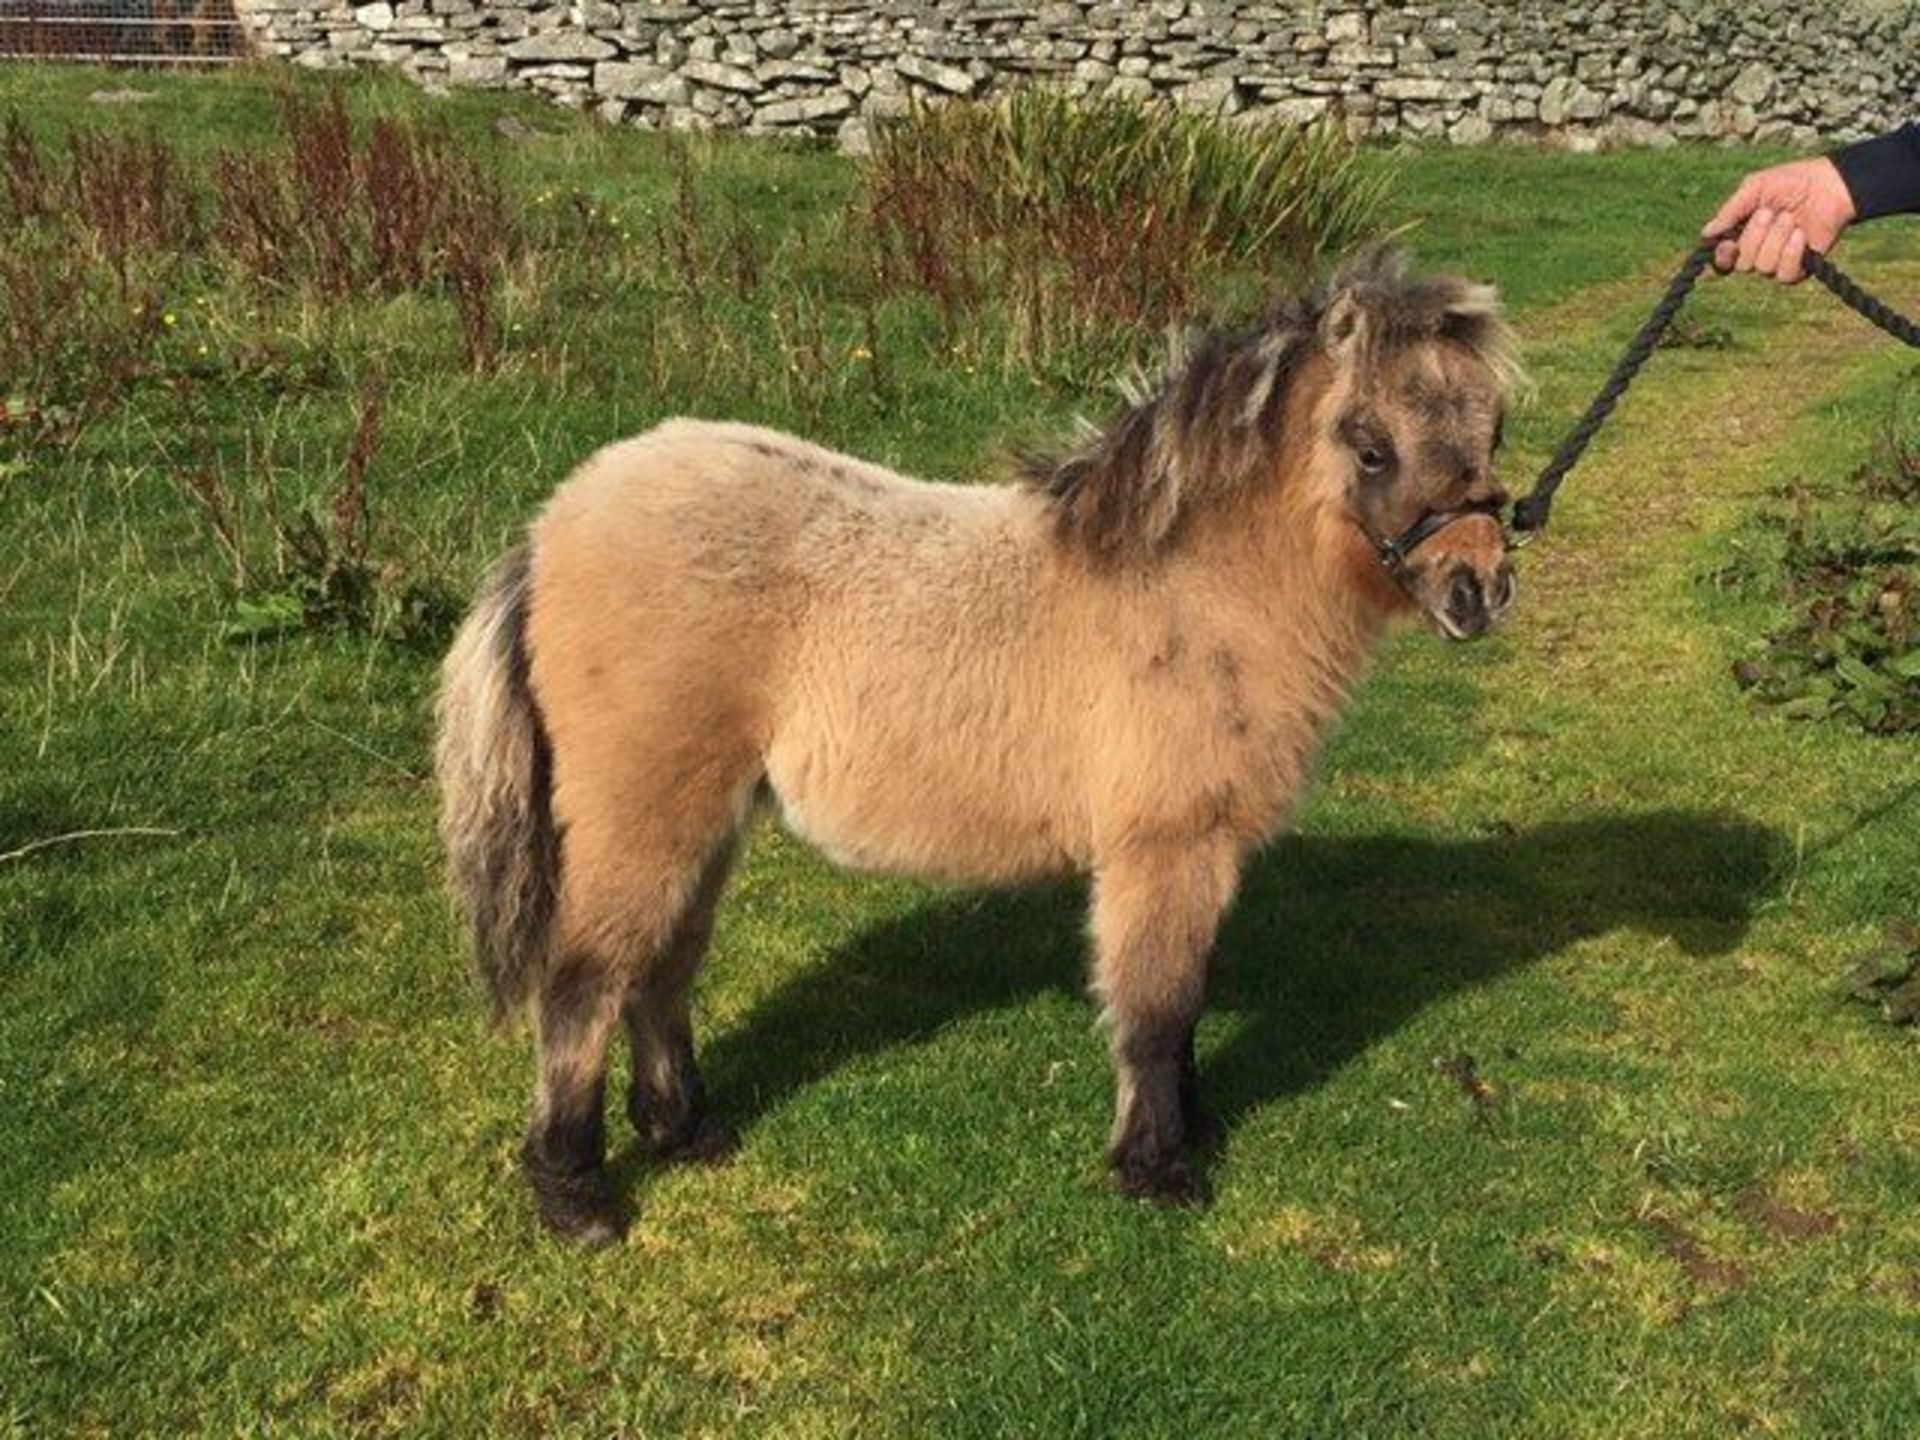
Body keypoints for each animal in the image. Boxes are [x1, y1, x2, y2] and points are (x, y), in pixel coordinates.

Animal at [435, 247, 1512, 1244]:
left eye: (1494, 429)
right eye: (1370, 446)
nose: (1479, 591)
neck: (1192, 590)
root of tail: (550, 527)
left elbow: (1182, 999)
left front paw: (1191, 1131)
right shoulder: (1166, 844)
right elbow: (1156, 1005)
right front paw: (1158, 1167)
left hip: (706, 813)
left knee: (662, 966)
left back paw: (685, 1132)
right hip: (640, 812)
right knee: (584, 984)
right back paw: (577, 1196)